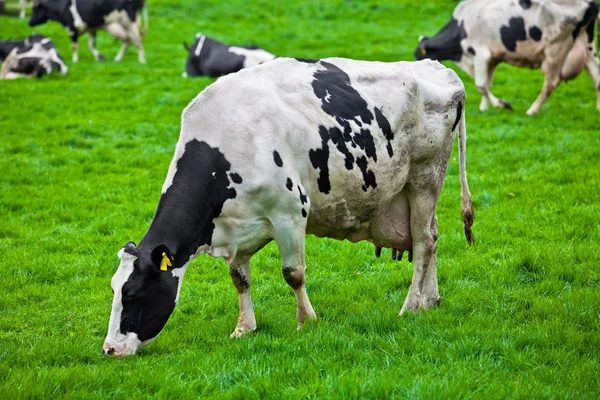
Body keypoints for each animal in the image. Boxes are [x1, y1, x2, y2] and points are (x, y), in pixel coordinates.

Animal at [104, 57, 478, 356]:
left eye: (134, 294)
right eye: (114, 290)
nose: (109, 349)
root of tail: (438, 67)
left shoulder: (290, 213)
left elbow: (293, 273)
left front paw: (306, 321)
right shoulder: (239, 224)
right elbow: (239, 278)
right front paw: (244, 327)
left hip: (425, 176)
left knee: (423, 242)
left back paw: (411, 306)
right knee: (432, 235)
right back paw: (430, 300)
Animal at [414, 0, 600, 114]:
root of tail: (589, 3)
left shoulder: (480, 53)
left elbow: (481, 85)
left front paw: (502, 104)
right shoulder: (492, 58)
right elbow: (487, 84)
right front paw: (484, 107)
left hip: (555, 49)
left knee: (551, 82)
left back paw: (532, 110)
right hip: (587, 45)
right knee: (596, 75)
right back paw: (598, 108)